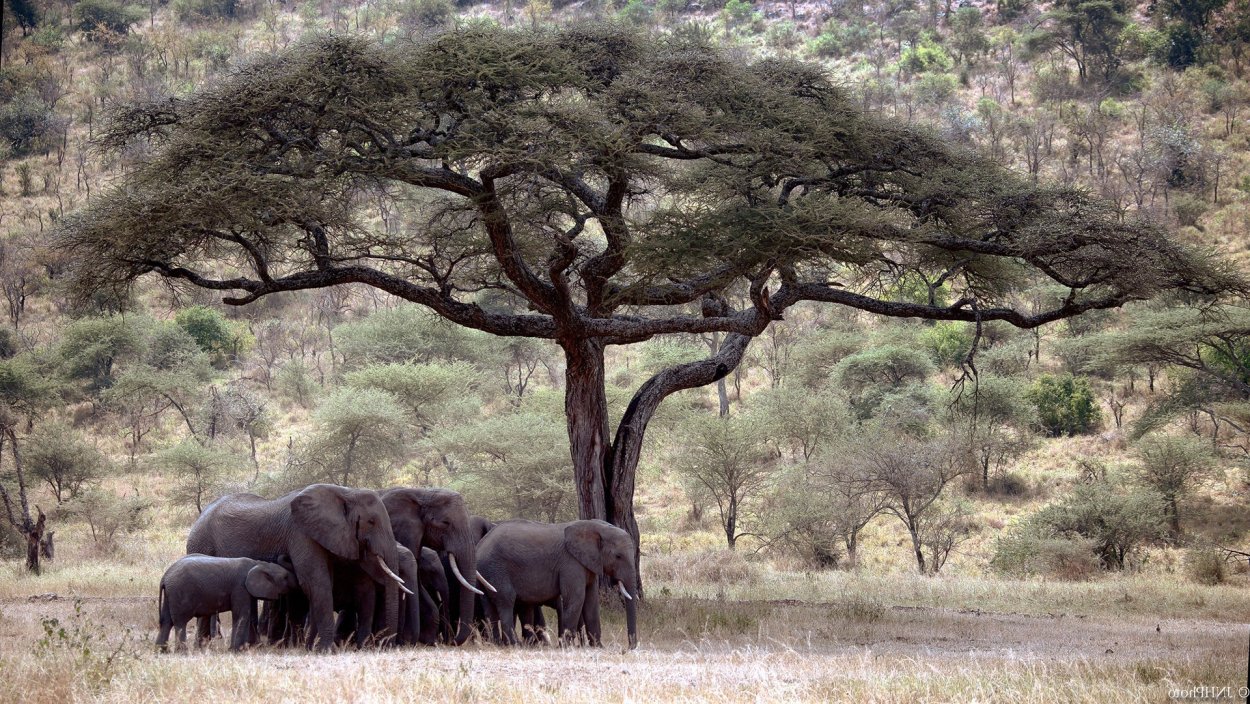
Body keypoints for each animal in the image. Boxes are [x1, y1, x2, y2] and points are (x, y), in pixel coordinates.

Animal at [157, 552, 298, 655]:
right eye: (285, 577)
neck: (258, 564)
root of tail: (165, 577)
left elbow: (245, 615)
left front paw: (241, 649)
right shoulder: (240, 587)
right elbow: (242, 615)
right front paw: (236, 651)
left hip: (170, 595)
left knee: (166, 621)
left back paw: (161, 651)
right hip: (180, 593)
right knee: (180, 622)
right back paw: (182, 653)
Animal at [185, 485, 405, 650]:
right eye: (371, 521)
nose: (386, 646)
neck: (345, 492)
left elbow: (321, 582)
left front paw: (311, 647)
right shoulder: (300, 533)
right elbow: (315, 582)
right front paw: (326, 650)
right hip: (201, 542)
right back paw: (203, 648)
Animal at [475, 517, 635, 650]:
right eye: (618, 556)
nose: (629, 648)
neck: (596, 526)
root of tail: (480, 546)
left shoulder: (589, 564)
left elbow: (591, 602)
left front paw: (598, 647)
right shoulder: (571, 563)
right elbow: (576, 599)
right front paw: (566, 647)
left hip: (486, 572)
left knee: (490, 607)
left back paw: (496, 644)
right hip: (497, 569)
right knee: (506, 601)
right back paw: (515, 645)